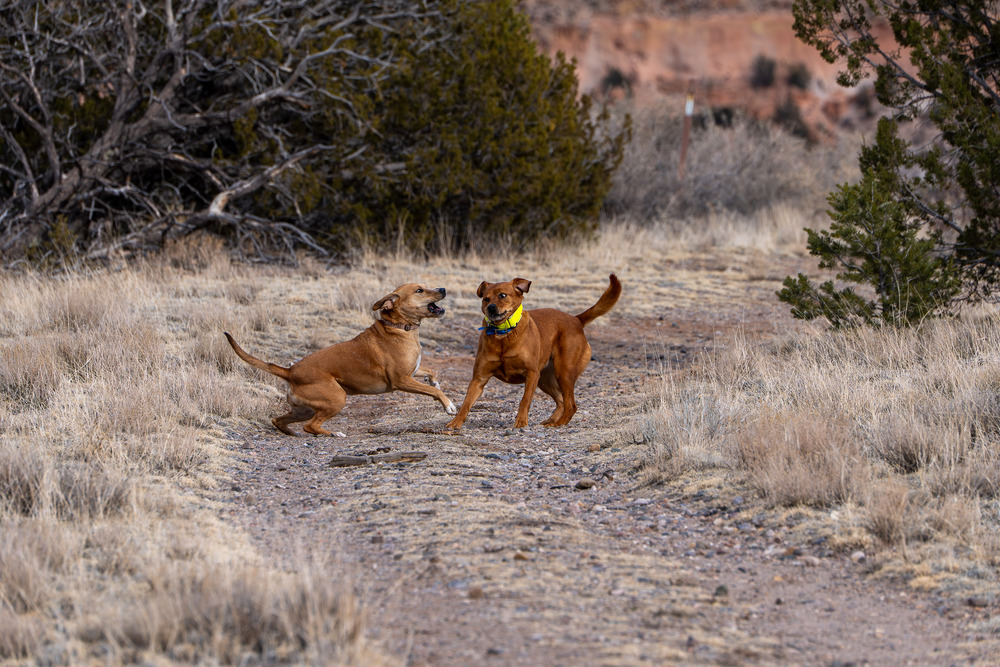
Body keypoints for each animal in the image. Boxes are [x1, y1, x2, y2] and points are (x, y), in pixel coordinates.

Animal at [225, 284, 456, 436]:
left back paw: (291, 433)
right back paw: (331, 434)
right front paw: (449, 405)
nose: (443, 289)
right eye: (419, 291)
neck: (399, 327)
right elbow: (435, 392)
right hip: (337, 398)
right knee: (310, 426)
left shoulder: (412, 372)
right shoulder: (401, 380)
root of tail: (290, 372)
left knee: (279, 420)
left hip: (303, 409)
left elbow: (431, 373)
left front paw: (435, 381)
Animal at [444, 274, 616, 430]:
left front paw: (521, 422)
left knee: (571, 405)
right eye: (486, 299)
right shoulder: (479, 379)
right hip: (545, 379)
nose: (490, 307)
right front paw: (455, 423)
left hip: (564, 373)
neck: (503, 335)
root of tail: (576, 319)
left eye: (502, 295)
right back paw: (550, 421)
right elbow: (466, 403)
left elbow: (525, 400)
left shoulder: (532, 373)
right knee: (561, 401)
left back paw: (558, 424)